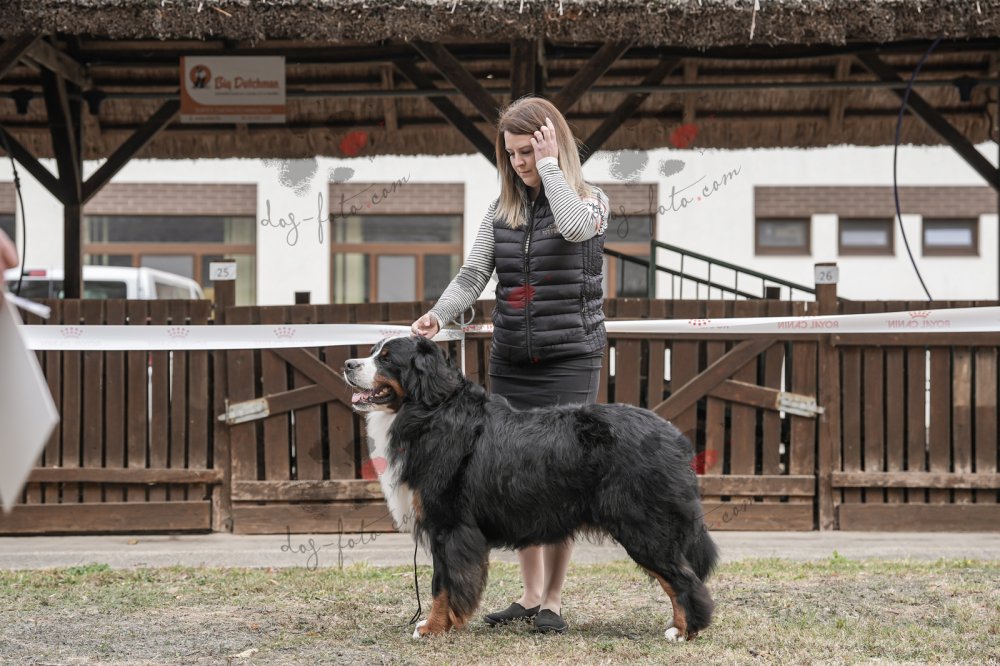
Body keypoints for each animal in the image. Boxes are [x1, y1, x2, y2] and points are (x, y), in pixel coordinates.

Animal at [343, 335, 718, 641]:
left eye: (387, 358)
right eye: (374, 351)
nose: (348, 364)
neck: (429, 412)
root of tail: (674, 436)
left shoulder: (448, 526)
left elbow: (442, 584)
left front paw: (432, 627)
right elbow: (447, 583)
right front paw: (444, 624)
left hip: (644, 527)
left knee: (684, 580)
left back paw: (683, 630)